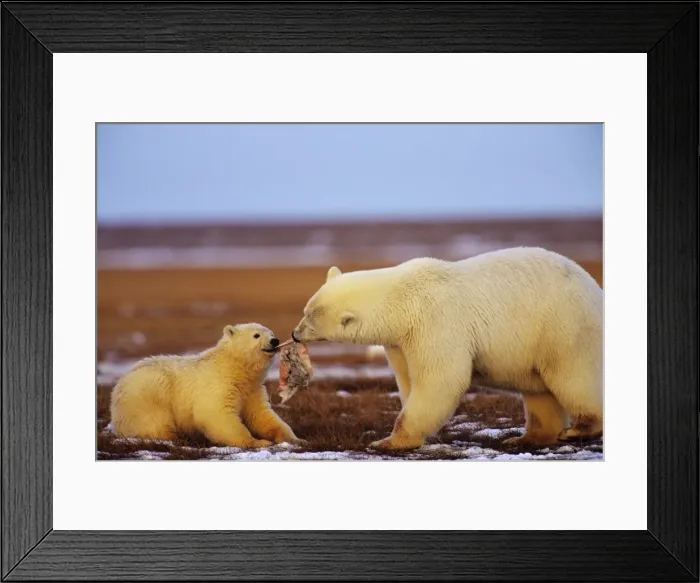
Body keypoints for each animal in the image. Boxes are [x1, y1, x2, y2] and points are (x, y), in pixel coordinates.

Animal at [109, 323, 303, 448]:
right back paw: (178, 438)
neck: (234, 367)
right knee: (156, 423)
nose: (275, 341)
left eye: (271, 332)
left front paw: (295, 439)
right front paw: (257, 442)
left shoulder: (251, 389)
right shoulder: (219, 384)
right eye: (256, 335)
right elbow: (217, 415)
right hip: (149, 393)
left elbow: (262, 415)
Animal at [291, 247, 603, 451]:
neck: (402, 298)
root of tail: (595, 289)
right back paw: (526, 437)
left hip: (563, 326)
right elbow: (408, 379)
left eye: (311, 318)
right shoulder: (400, 340)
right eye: (305, 310)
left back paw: (578, 429)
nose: (294, 334)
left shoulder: (434, 322)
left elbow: (440, 379)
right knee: (539, 392)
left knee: (572, 374)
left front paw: (388, 441)